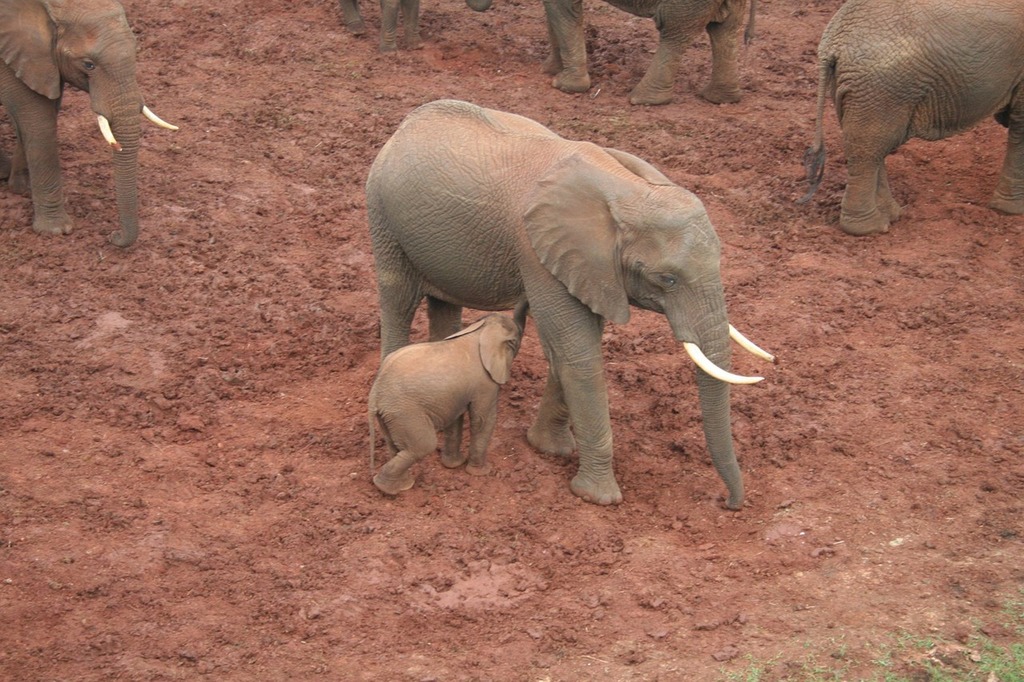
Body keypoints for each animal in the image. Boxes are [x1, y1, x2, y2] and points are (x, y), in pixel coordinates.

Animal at [0, 0, 177, 246]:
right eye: (88, 64)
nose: (113, 236)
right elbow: (37, 118)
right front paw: (56, 231)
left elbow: (45, 106)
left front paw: (21, 188)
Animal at [368, 303, 528, 493]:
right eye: (515, 341)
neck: (480, 331)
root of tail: (375, 394)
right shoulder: (485, 384)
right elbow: (482, 420)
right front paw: (481, 473)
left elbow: (455, 419)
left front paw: (453, 465)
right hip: (405, 412)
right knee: (423, 445)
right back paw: (388, 489)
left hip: (390, 415)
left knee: (395, 445)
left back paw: (399, 485)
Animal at [468, 0, 753, 104]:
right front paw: (549, 71)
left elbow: (564, 11)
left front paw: (564, 86)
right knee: (725, 30)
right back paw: (720, 98)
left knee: (673, 31)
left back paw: (643, 100)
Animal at [798, 0, 1024, 236]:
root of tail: (832, 43)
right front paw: (1011, 211)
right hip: (881, 87)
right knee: (869, 149)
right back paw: (870, 228)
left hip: (859, 89)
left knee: (872, 146)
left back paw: (892, 216)